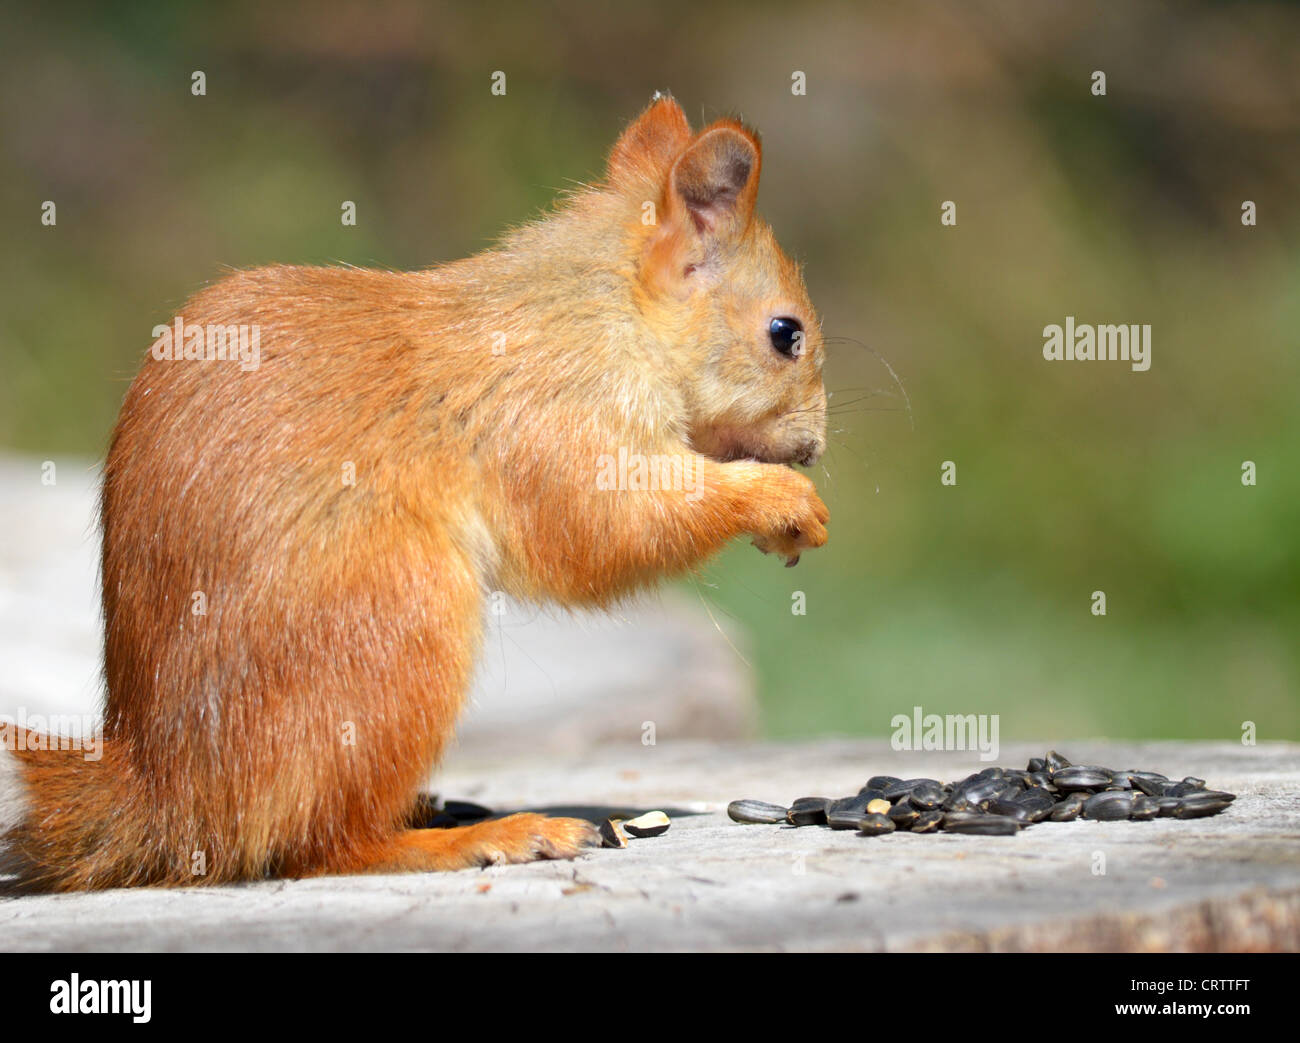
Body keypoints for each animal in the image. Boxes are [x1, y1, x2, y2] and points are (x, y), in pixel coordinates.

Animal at [0, 95, 828, 890]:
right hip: (398, 619)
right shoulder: (555, 422)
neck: (599, 315)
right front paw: (782, 501)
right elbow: (606, 530)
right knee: (321, 845)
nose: (817, 443)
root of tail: (169, 792)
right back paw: (477, 837)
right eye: (784, 333)